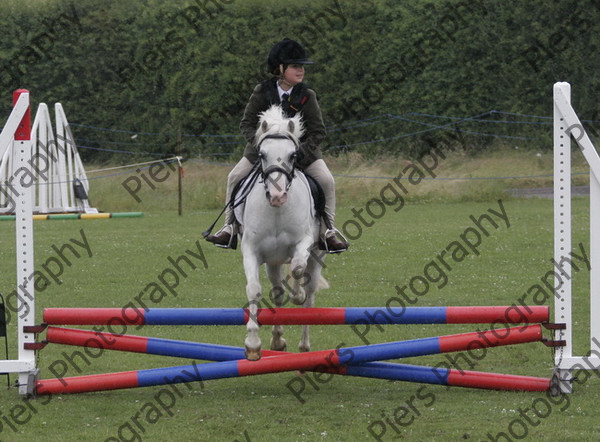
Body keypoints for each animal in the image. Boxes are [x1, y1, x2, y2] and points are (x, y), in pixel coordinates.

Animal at [237, 105, 326, 360]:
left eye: (293, 155)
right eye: (261, 154)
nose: (277, 197)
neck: (276, 211)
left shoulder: (304, 241)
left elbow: (297, 268)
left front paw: (297, 294)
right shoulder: (251, 251)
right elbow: (254, 290)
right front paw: (253, 344)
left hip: (317, 256)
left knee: (309, 296)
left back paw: (304, 344)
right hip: (272, 262)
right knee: (277, 291)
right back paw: (277, 340)